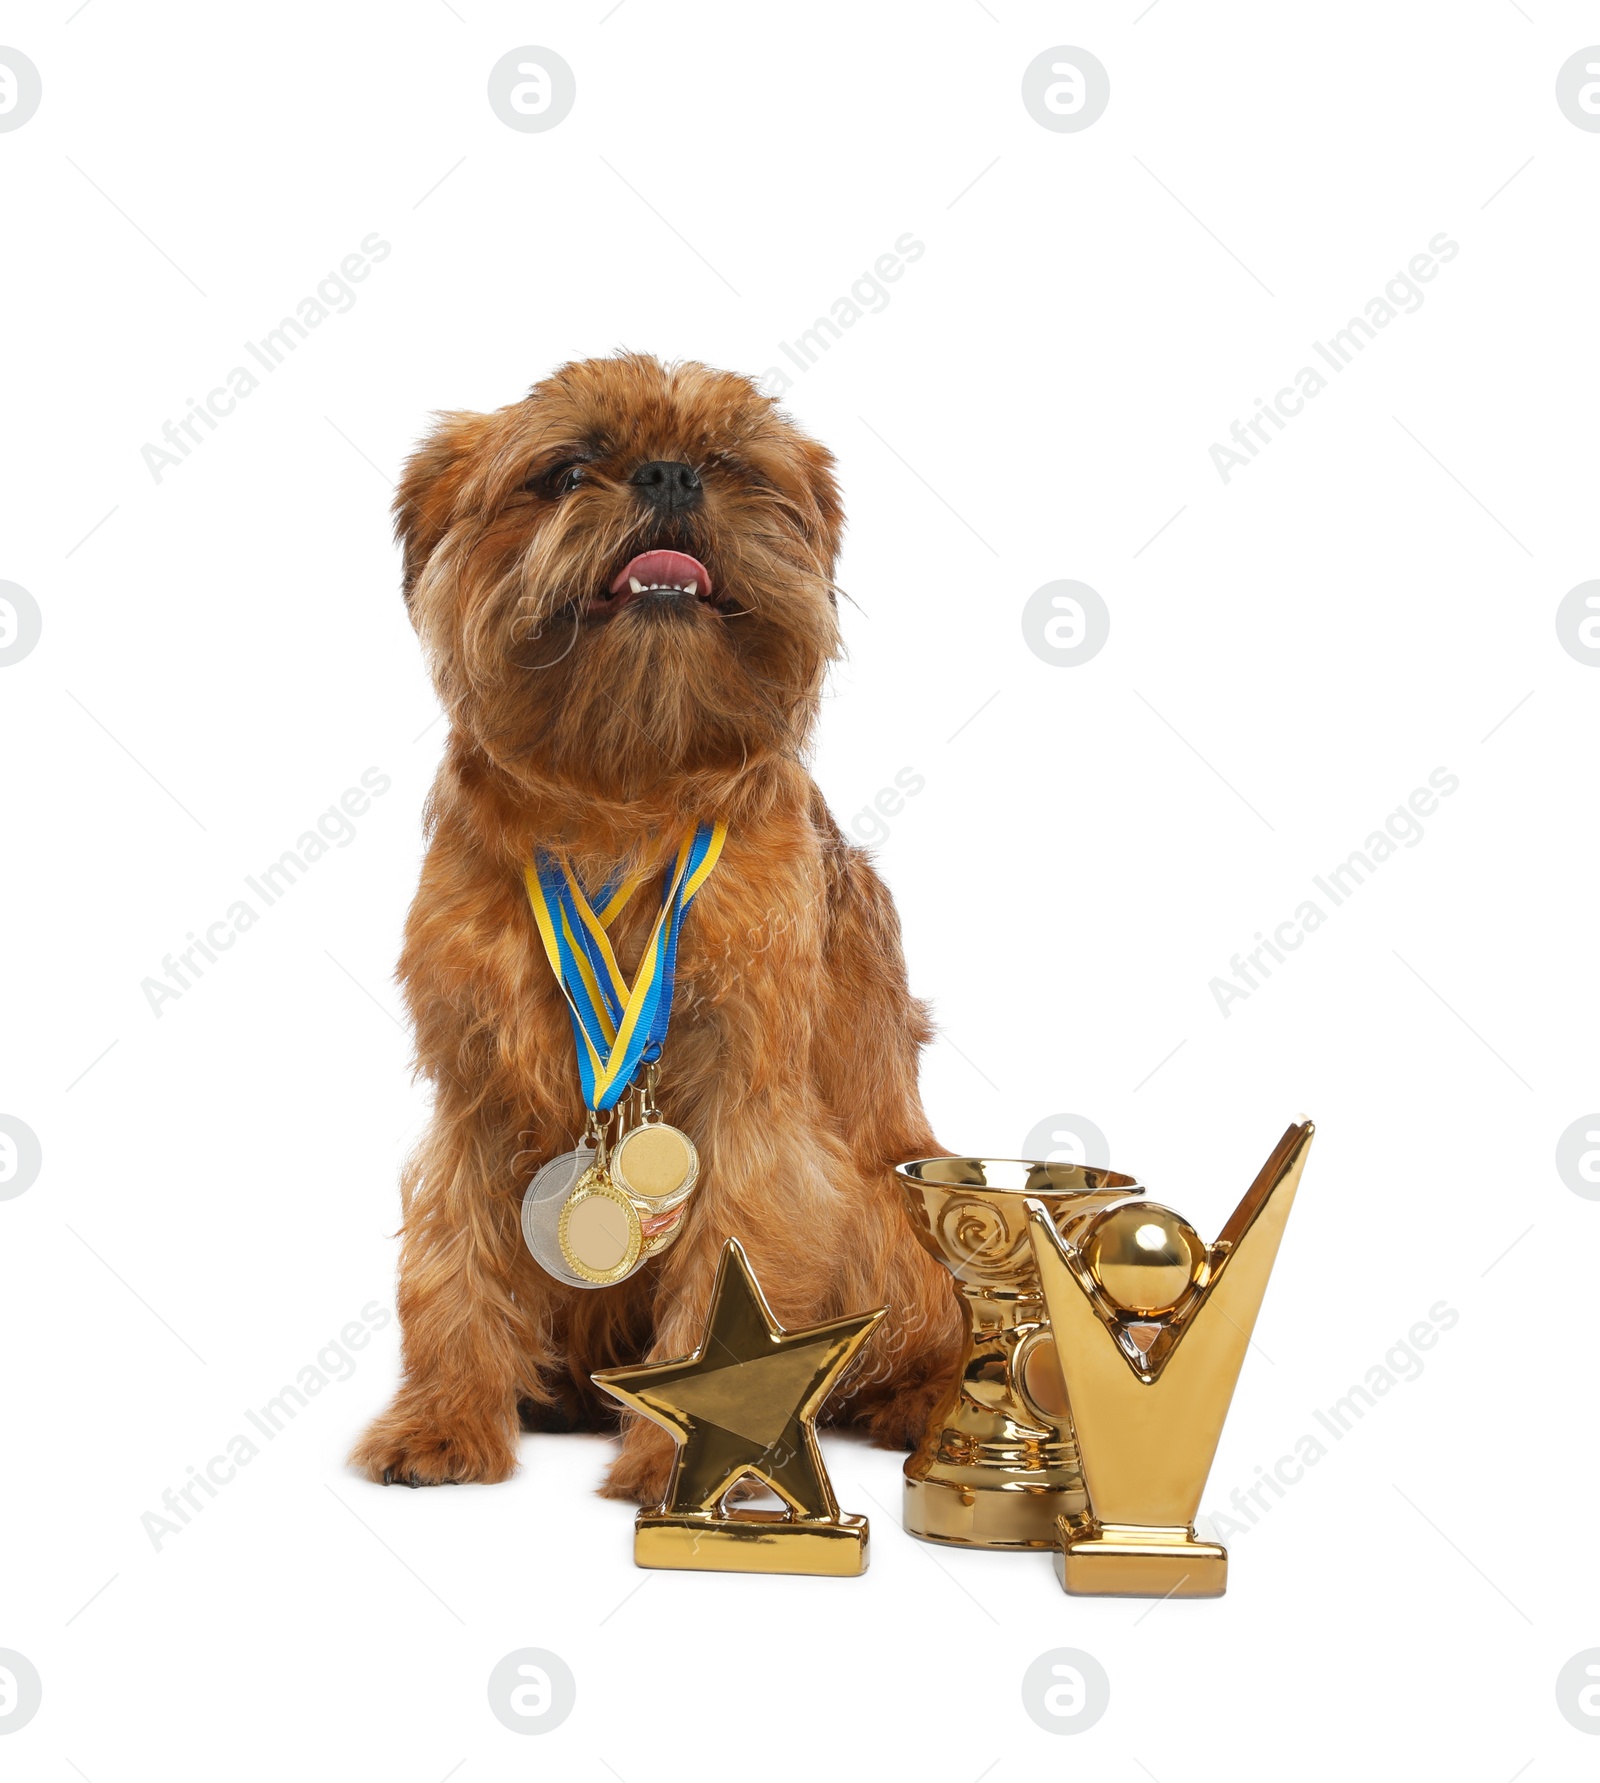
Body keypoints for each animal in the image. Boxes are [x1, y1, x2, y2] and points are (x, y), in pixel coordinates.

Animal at [353, 354, 963, 1497]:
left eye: (729, 465)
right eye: (567, 470)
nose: (673, 474)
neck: (622, 798)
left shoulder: (745, 1104)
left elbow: (734, 1258)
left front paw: (691, 1460)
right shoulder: (474, 1093)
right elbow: (449, 1258)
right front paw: (442, 1420)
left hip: (894, 1208)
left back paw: (922, 1405)